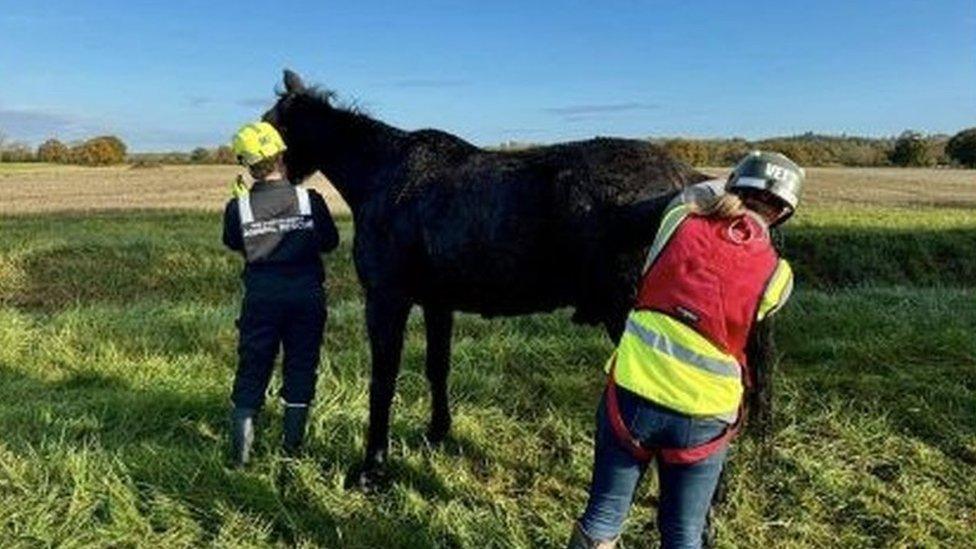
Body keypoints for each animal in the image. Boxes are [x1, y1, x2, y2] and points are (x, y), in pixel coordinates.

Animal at [264, 70, 708, 486]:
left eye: (271, 124)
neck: (381, 174)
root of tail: (687, 181)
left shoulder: (386, 299)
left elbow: (383, 381)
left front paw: (373, 467)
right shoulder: (437, 304)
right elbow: (436, 367)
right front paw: (437, 432)